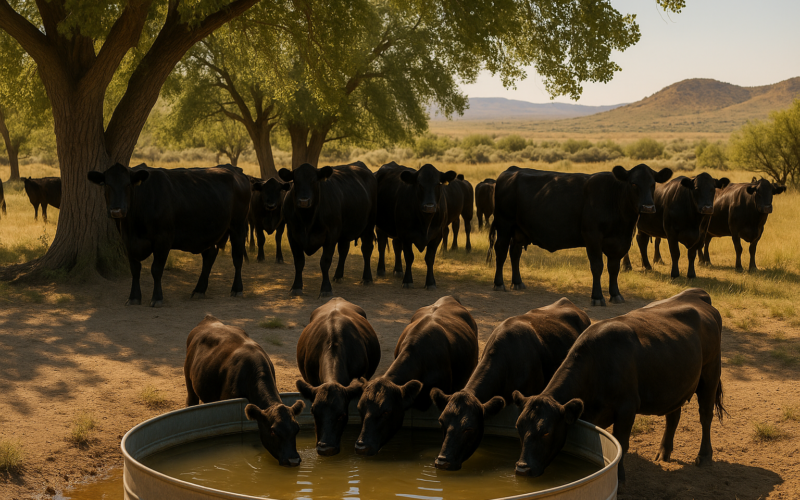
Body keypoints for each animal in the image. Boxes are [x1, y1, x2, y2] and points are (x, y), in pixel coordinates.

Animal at [87, 163, 251, 307]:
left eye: (128, 185)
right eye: (106, 185)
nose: (117, 211)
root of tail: (236, 172)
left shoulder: (163, 240)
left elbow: (156, 269)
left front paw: (157, 298)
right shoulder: (128, 242)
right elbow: (135, 269)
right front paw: (133, 297)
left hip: (238, 226)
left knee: (237, 258)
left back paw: (237, 289)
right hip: (211, 232)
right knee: (209, 257)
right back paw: (199, 290)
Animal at [278, 161, 377, 297]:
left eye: (314, 181)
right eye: (296, 181)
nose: (304, 201)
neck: (307, 219)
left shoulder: (331, 234)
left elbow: (325, 262)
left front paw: (326, 289)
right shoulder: (292, 234)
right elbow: (299, 261)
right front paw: (296, 287)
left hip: (369, 225)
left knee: (366, 249)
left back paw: (367, 278)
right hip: (344, 232)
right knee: (344, 250)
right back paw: (338, 275)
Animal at [489, 164, 673, 306]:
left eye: (653, 184)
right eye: (633, 184)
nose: (648, 207)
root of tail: (512, 170)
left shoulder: (619, 242)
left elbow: (614, 268)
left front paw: (615, 294)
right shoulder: (592, 236)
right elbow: (597, 266)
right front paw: (597, 297)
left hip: (518, 230)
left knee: (515, 252)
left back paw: (518, 282)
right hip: (504, 224)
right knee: (501, 251)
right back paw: (499, 283)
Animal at [512, 288, 724, 483]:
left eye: (546, 431)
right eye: (518, 427)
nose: (522, 469)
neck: (596, 364)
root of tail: (695, 294)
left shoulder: (626, 408)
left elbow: (622, 443)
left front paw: (619, 477)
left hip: (711, 373)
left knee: (706, 415)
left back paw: (704, 455)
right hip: (675, 384)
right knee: (673, 415)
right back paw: (664, 452)